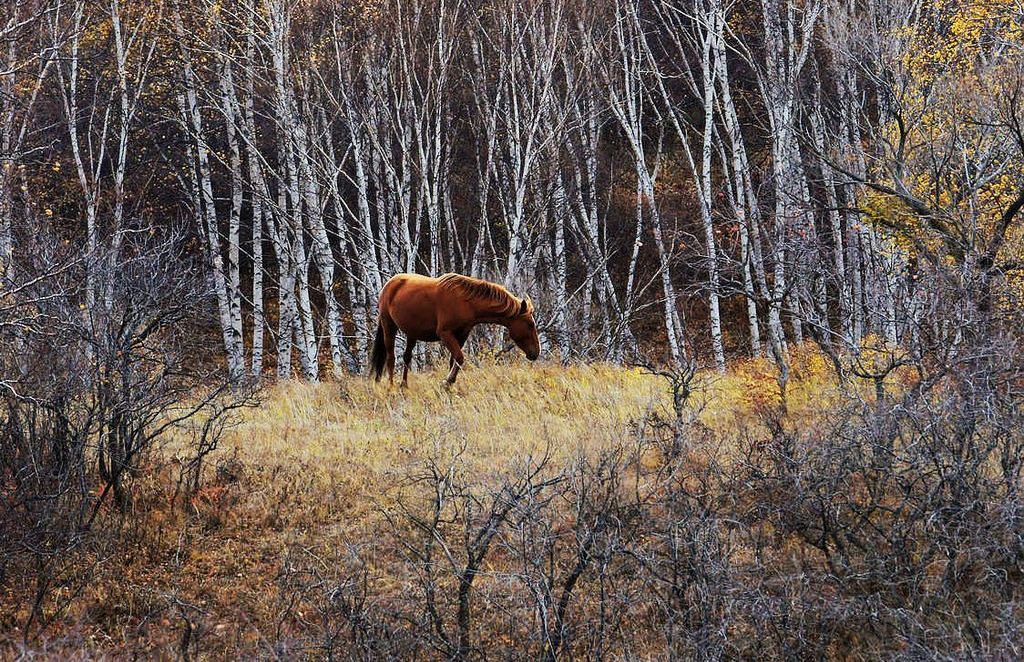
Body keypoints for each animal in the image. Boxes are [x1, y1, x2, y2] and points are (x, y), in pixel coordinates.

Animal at [370, 272, 544, 387]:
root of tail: (390, 283)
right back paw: (391, 386)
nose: (535, 353)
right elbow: (460, 358)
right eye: (530, 324)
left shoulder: (462, 335)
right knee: (391, 357)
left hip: (412, 332)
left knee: (407, 357)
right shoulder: (445, 334)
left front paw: (450, 384)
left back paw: (404, 385)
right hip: (388, 325)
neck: (466, 302)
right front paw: (447, 382)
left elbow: (454, 360)